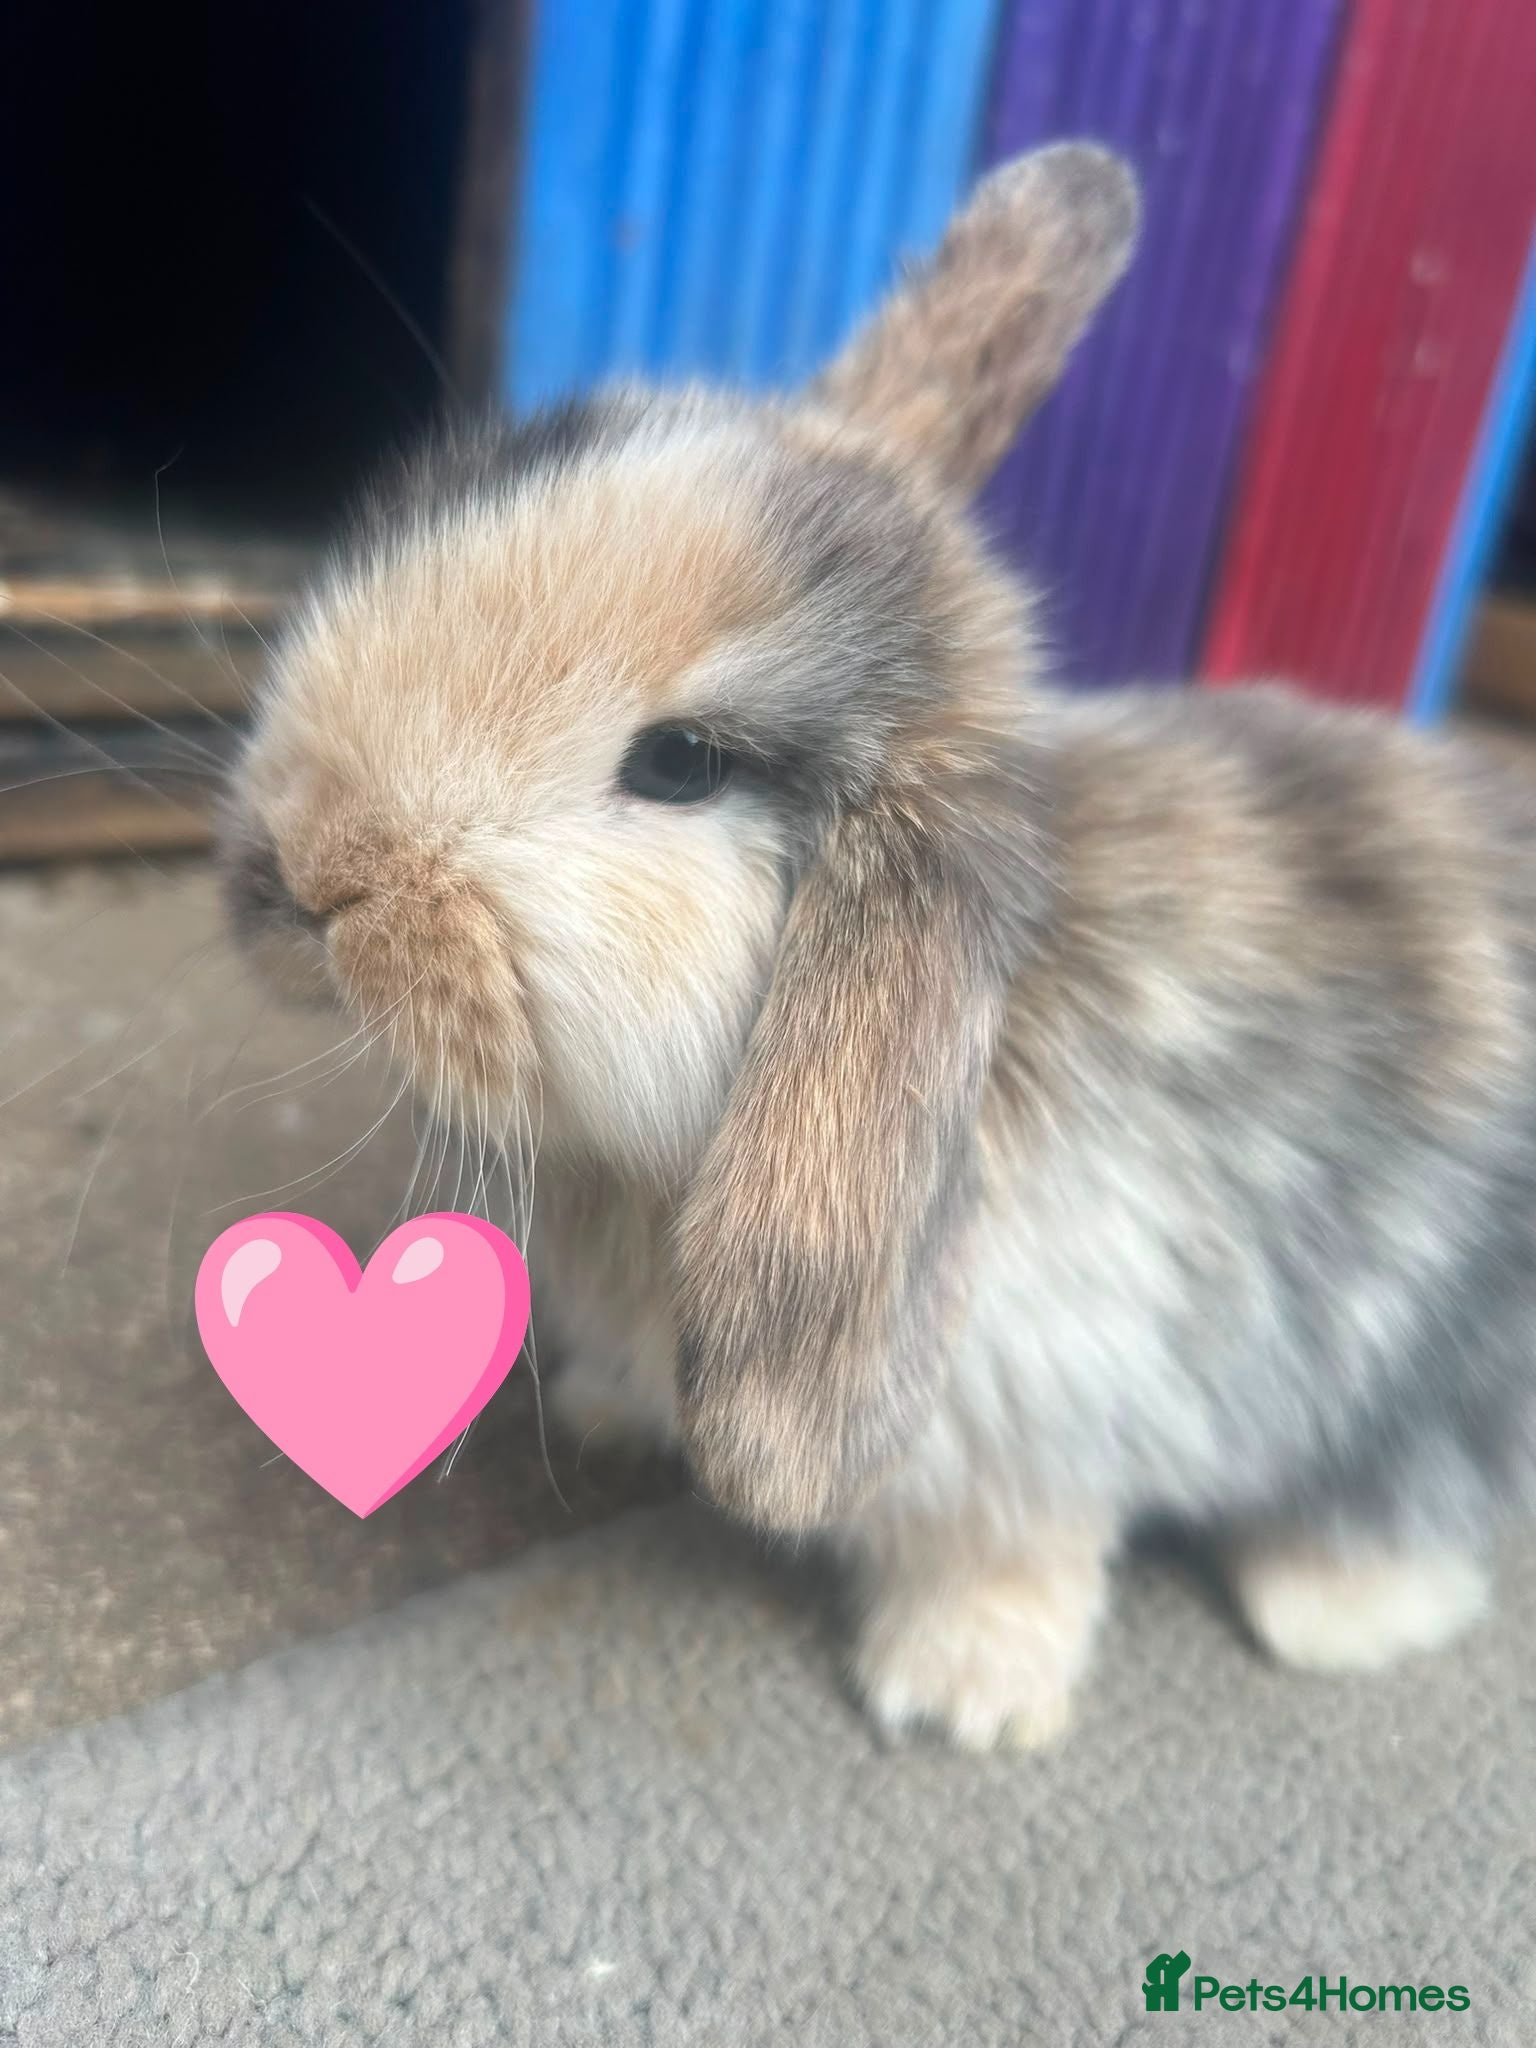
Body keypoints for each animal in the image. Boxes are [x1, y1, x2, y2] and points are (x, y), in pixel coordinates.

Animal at [220, 143, 1536, 1751]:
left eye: (681, 764)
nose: (302, 873)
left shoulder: (1054, 1409)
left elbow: (1014, 1546)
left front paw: (959, 1695)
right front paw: (607, 1410)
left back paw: (1333, 1612)